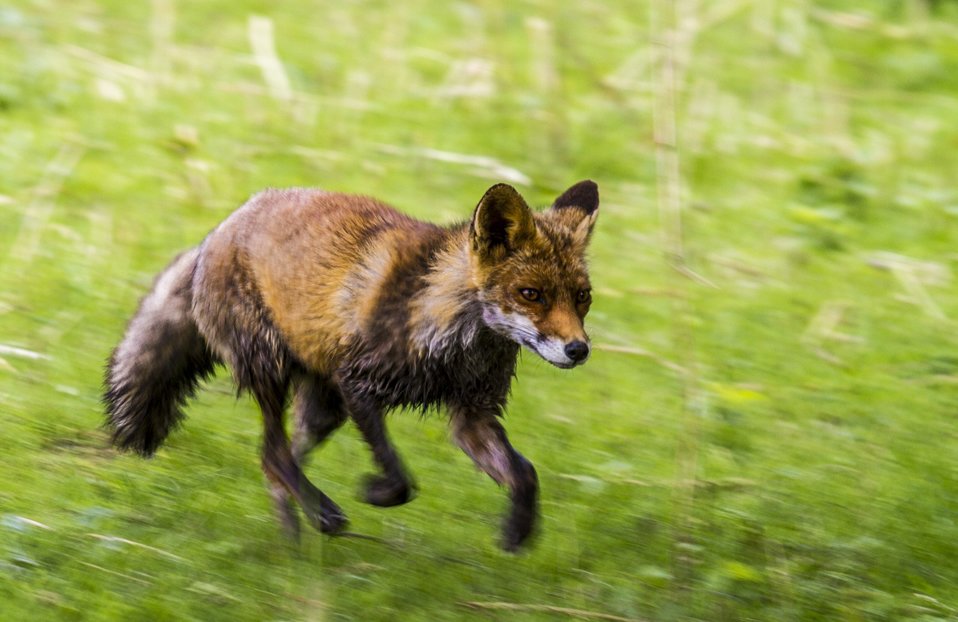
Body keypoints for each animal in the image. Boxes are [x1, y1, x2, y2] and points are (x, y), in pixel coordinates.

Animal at [104, 180, 599, 551]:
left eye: (582, 297)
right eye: (531, 294)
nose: (578, 350)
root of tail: (219, 229)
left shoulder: (472, 416)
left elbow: (525, 474)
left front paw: (518, 531)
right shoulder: (358, 383)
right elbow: (400, 478)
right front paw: (374, 493)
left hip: (323, 410)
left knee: (273, 464)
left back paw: (292, 541)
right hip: (273, 369)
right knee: (273, 453)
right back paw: (321, 515)